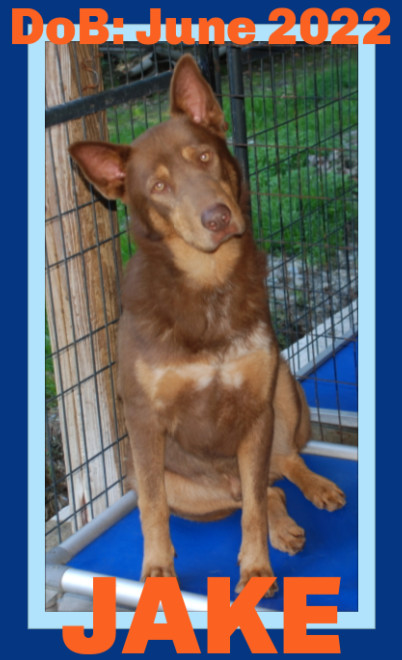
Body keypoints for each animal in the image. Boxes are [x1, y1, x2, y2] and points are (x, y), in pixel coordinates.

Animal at [70, 54, 346, 596]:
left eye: (203, 157)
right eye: (158, 187)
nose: (217, 217)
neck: (208, 287)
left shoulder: (257, 407)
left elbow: (256, 507)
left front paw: (256, 569)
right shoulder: (144, 420)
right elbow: (153, 510)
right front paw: (158, 572)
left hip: (284, 386)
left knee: (277, 475)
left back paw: (313, 491)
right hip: (178, 483)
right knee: (256, 493)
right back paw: (285, 525)